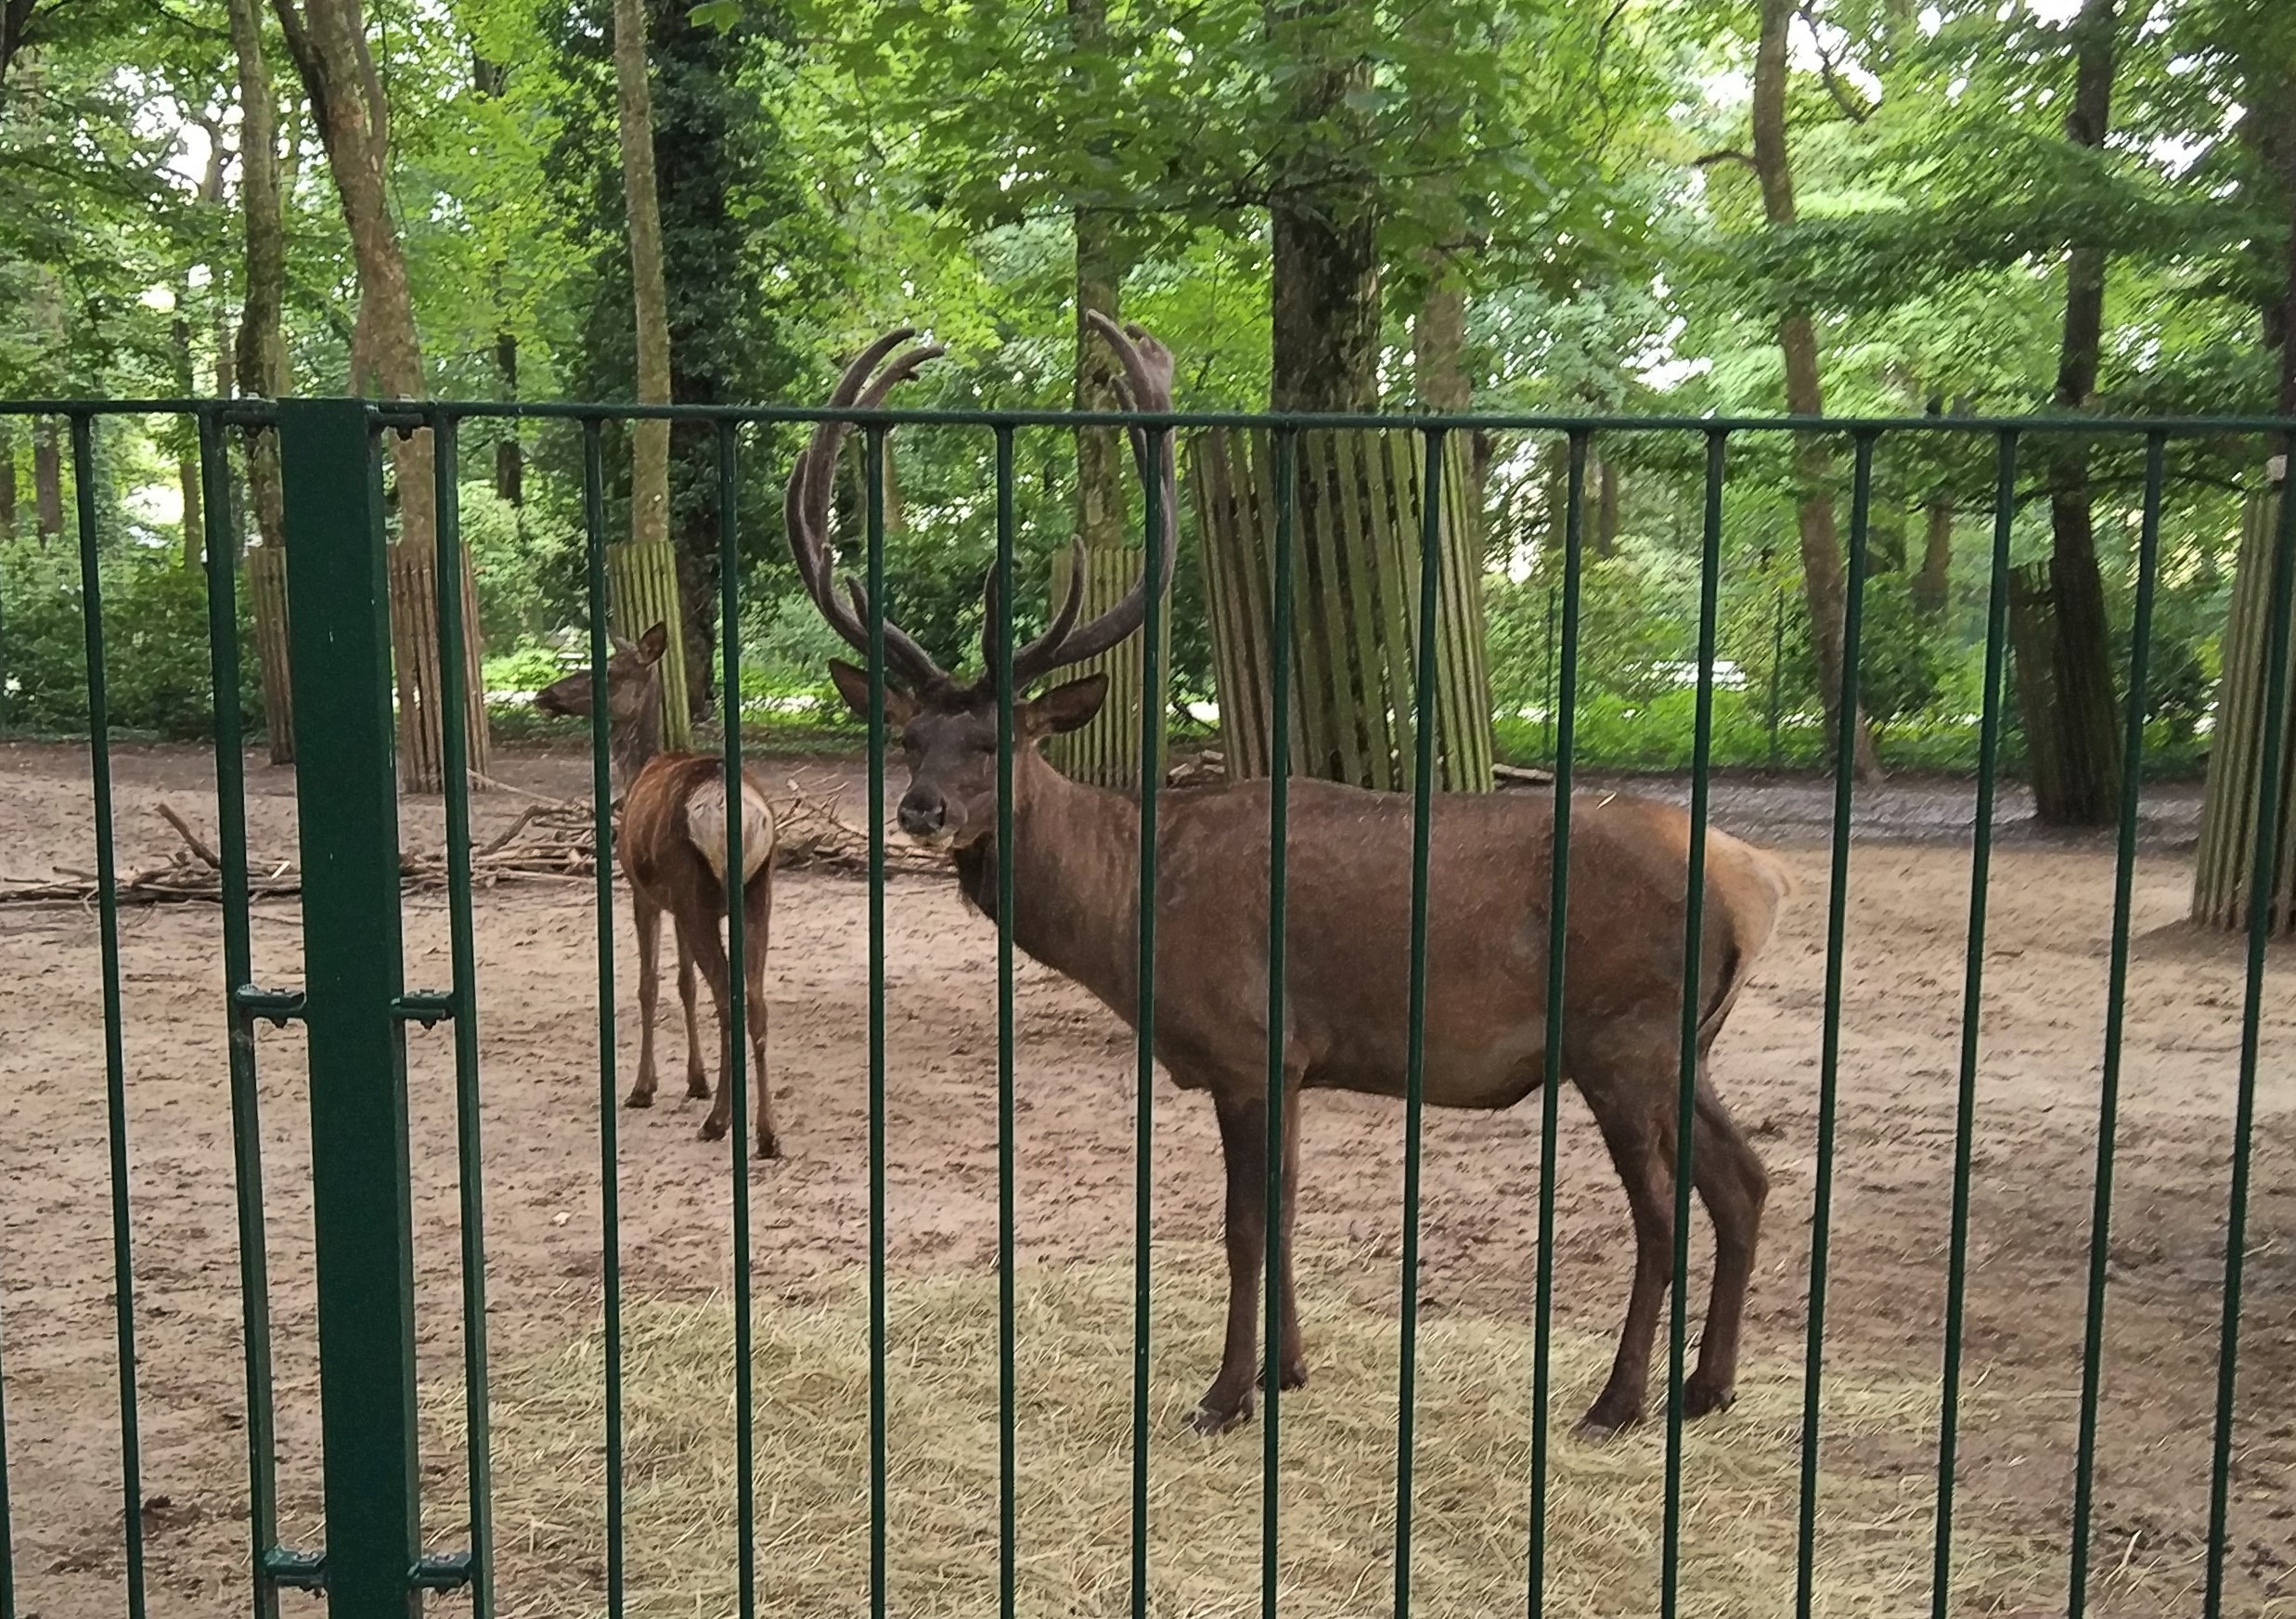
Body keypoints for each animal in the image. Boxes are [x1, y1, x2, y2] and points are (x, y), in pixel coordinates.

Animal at [534, 622, 782, 1157]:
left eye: (609, 668)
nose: (545, 694)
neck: (638, 767)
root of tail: (741, 815)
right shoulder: (676, 902)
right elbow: (685, 983)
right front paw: (695, 1080)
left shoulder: (643, 891)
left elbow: (649, 985)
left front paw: (644, 1087)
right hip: (756, 891)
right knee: (755, 1000)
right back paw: (768, 1133)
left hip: (697, 893)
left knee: (729, 997)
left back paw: (718, 1122)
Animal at [789, 315, 1793, 1437]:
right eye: (908, 736)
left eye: (998, 741)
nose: (920, 810)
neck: (1133, 910)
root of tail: (1756, 882)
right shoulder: (1298, 1061)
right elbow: (1286, 1214)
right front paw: (1288, 1369)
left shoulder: (1247, 1044)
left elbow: (1241, 1225)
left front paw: (1223, 1394)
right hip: (1684, 1044)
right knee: (1745, 1180)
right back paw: (1705, 1387)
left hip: (1622, 1034)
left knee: (1663, 1211)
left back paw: (1615, 1402)